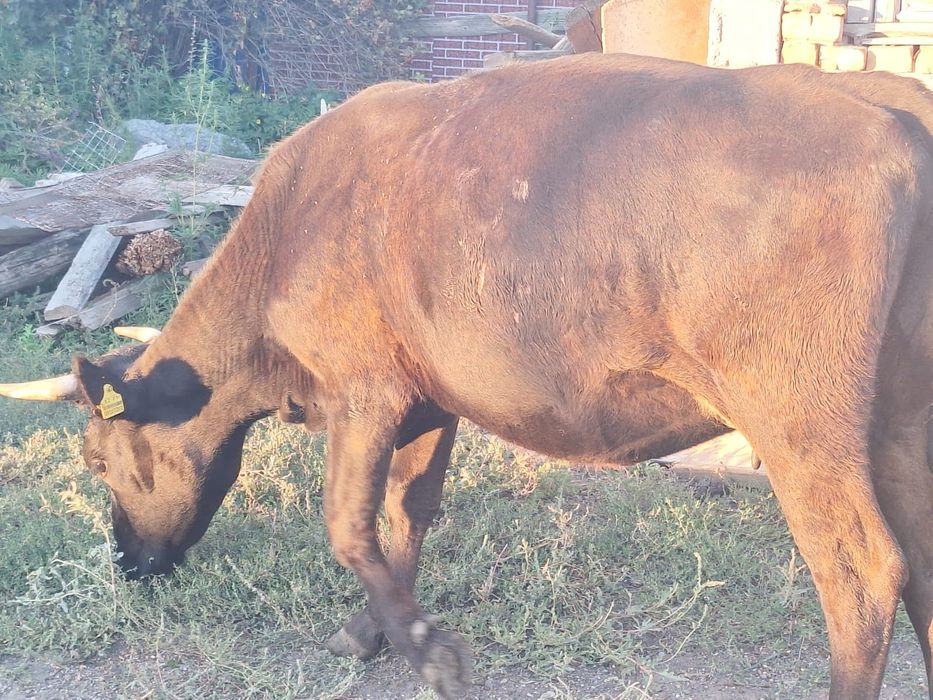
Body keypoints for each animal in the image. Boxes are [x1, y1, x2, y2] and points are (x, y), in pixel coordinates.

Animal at [2, 53, 933, 699]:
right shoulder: (427, 401)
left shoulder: (363, 389)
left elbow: (347, 525)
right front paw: (374, 632)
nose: (127, 563)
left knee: (859, 573)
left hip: (798, 424)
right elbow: (406, 516)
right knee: (916, 556)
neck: (290, 229)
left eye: (96, 461)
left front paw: (431, 653)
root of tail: (885, 107)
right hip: (896, 421)